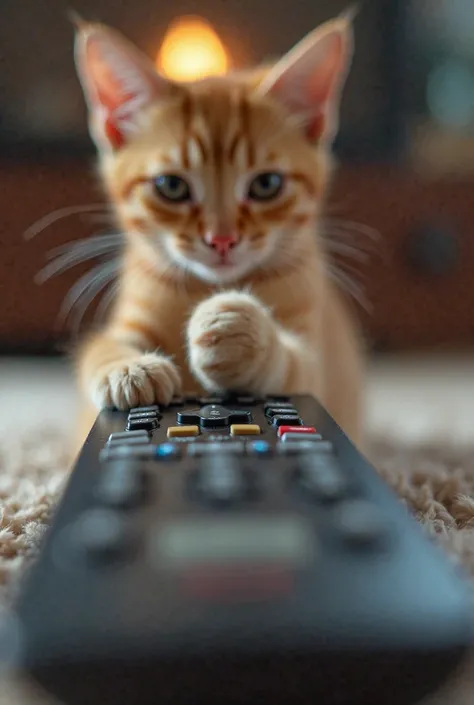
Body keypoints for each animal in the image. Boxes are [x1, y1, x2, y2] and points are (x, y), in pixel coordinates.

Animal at [72, 12, 364, 446]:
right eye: (171, 186)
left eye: (266, 184)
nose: (222, 239)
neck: (203, 286)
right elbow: (100, 347)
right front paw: (128, 368)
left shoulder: (315, 368)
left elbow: (293, 366)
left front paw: (234, 328)